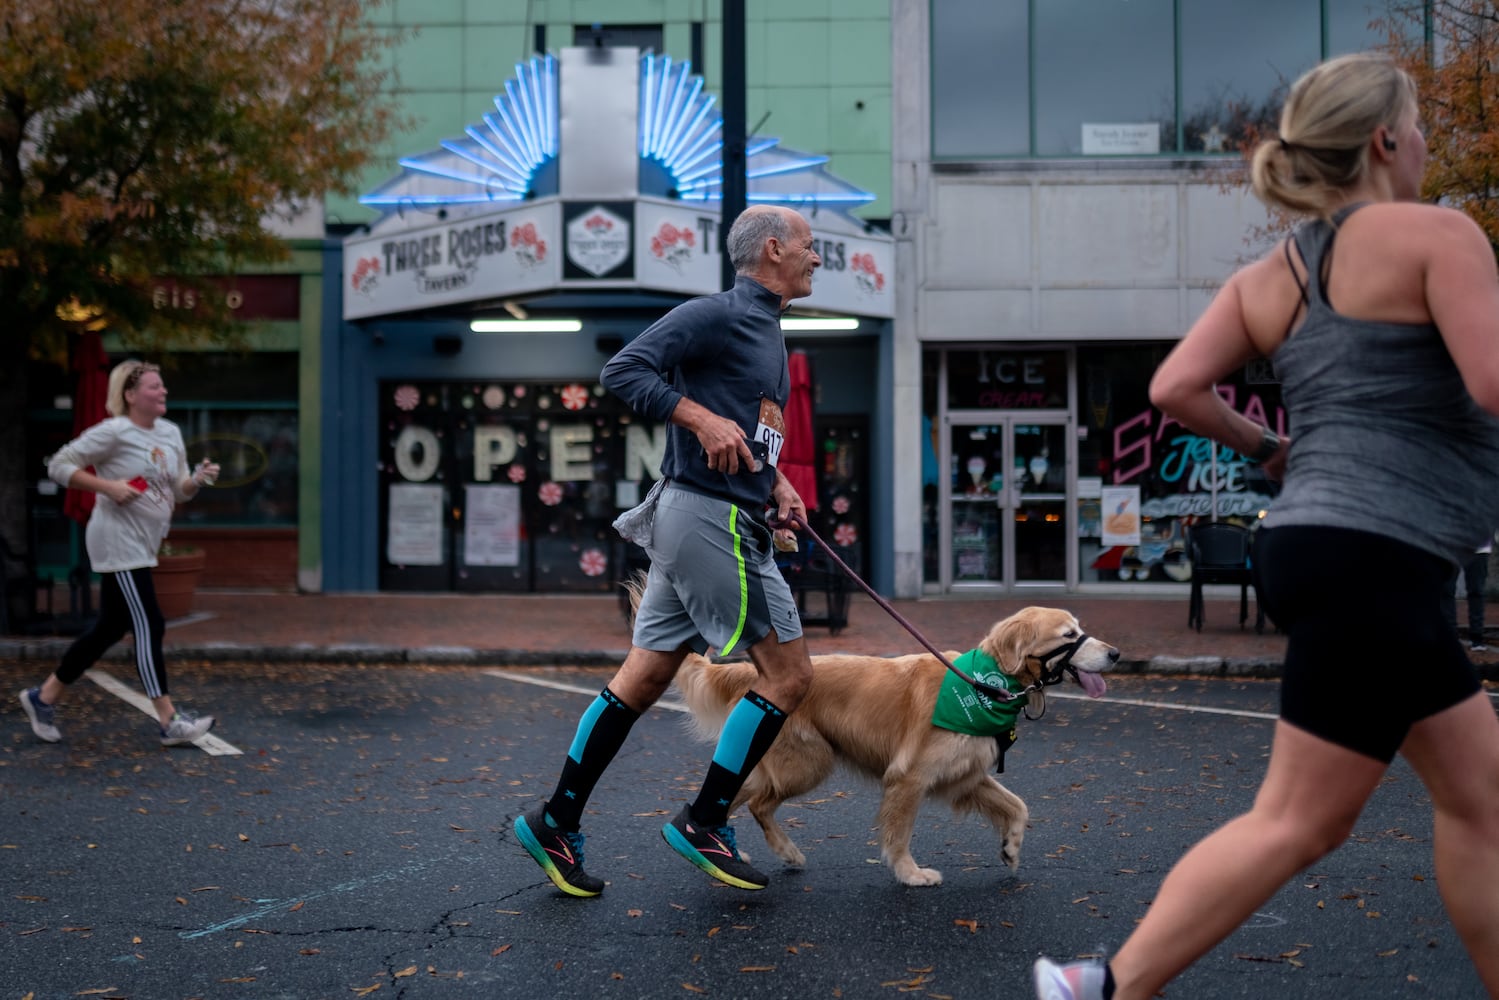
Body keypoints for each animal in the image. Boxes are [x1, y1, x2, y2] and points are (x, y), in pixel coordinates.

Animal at [674, 605, 1121, 887]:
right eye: (1069, 635)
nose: (1116, 653)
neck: (985, 683)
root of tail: (752, 672)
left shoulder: (965, 775)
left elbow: (1018, 806)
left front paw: (1010, 848)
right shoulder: (909, 777)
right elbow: (900, 832)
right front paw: (910, 874)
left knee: (741, 793)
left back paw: (723, 848)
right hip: (809, 763)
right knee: (757, 801)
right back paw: (773, 851)